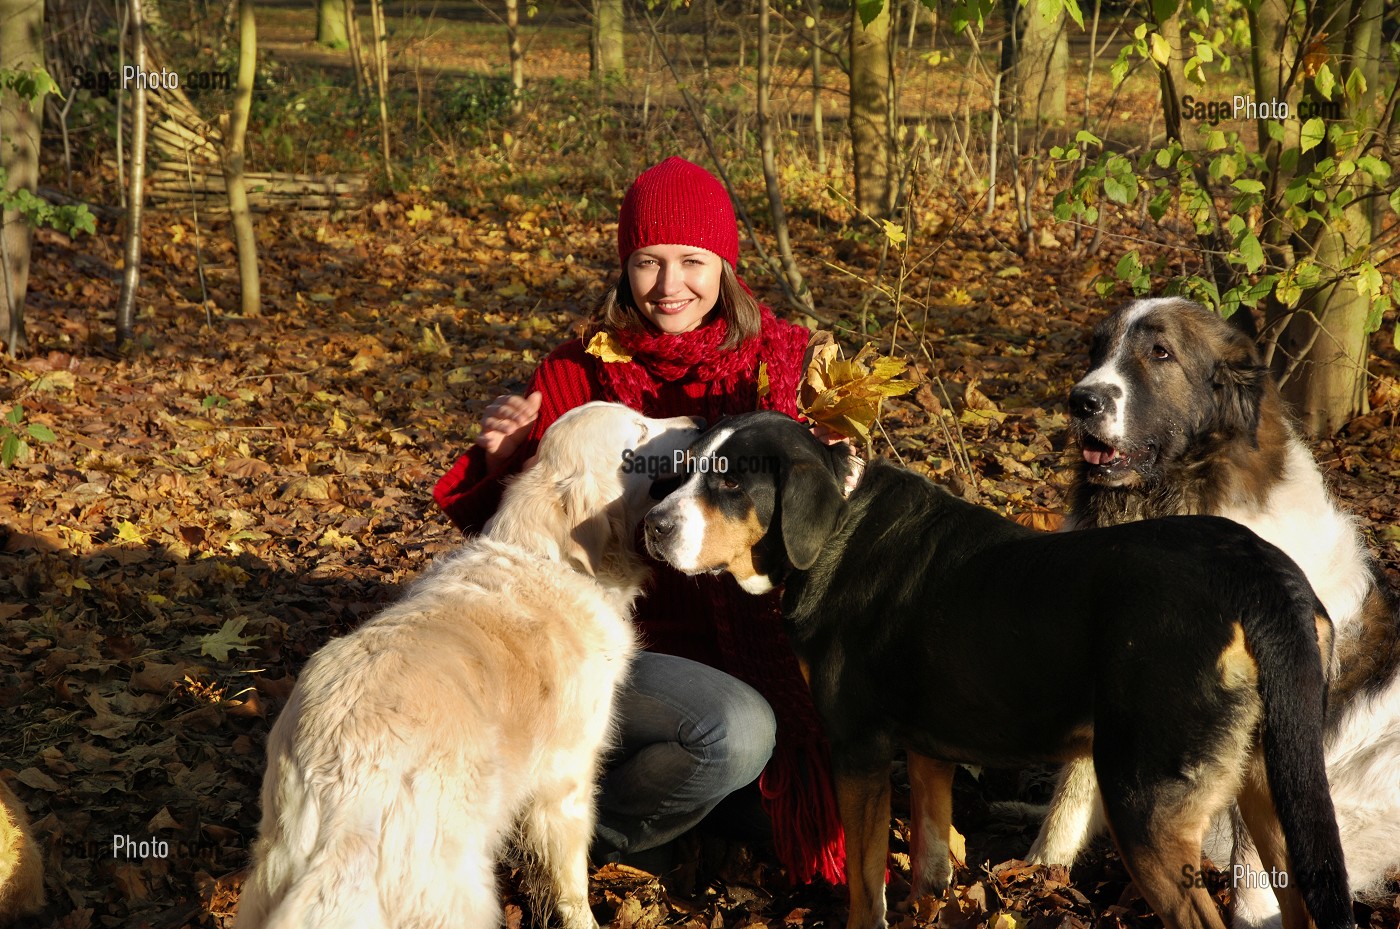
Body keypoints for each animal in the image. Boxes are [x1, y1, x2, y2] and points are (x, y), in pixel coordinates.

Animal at [235, 402, 705, 929]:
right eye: (640, 430)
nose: (699, 423)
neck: (551, 558)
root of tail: (339, 780)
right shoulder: (566, 782)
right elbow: (571, 884)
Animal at [644, 411, 1355, 929]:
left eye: (730, 484)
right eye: (685, 469)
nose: (652, 525)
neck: (835, 528)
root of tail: (1259, 576)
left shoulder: (858, 749)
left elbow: (867, 884)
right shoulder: (929, 752)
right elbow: (930, 864)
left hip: (1146, 802)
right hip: (1275, 788)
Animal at [1030, 298, 1400, 929]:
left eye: (1160, 353)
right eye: (1097, 350)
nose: (1082, 400)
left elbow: (1259, 863)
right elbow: (1068, 800)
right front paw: (1029, 879)